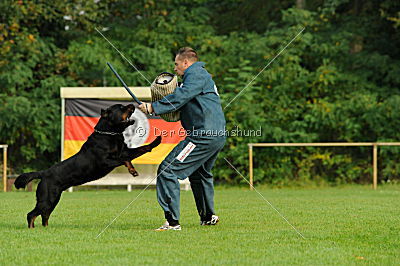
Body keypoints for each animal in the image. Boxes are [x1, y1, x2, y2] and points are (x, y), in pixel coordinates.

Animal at [14, 103, 161, 228]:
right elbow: (124, 159)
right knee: (31, 214)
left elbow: (140, 149)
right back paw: (32, 229)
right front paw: (131, 168)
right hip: (47, 198)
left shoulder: (124, 151)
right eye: (121, 107)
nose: (132, 105)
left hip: (53, 199)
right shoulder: (105, 161)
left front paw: (154, 143)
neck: (109, 134)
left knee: (44, 215)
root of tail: (44, 173)